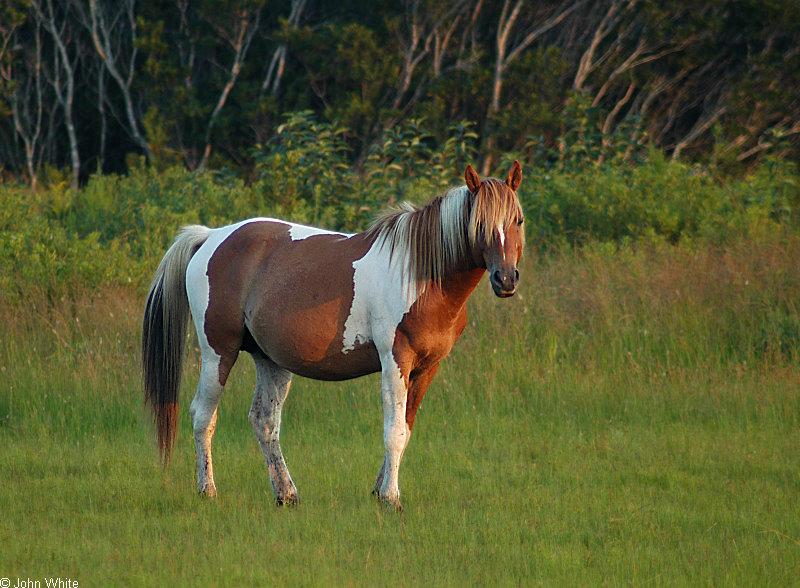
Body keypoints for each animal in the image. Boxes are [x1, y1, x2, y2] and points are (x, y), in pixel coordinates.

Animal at [144, 161, 524, 510]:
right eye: (479, 224)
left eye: (517, 220)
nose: (505, 279)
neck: (418, 274)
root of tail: (210, 237)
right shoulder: (395, 361)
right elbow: (393, 431)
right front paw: (391, 499)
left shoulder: (428, 367)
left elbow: (405, 429)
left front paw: (379, 491)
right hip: (218, 353)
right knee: (203, 417)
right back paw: (207, 490)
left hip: (271, 360)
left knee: (264, 422)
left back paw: (286, 495)